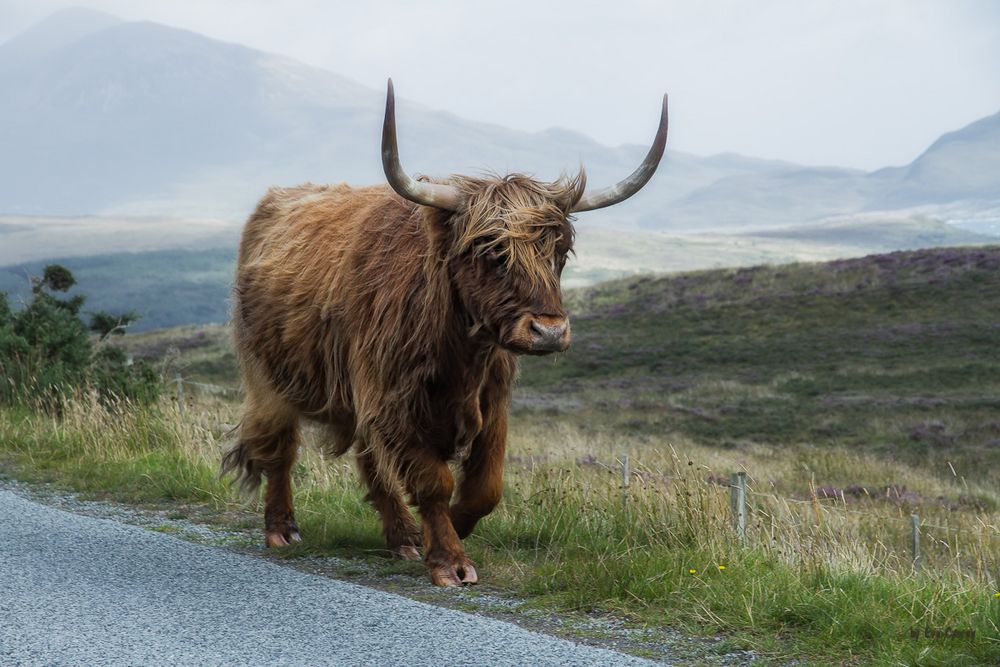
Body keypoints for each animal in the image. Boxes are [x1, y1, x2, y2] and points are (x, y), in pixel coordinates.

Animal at [223, 81, 668, 588]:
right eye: (490, 251)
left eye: (560, 252)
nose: (549, 331)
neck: (461, 355)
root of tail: (276, 199)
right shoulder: (393, 402)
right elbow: (433, 481)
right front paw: (450, 560)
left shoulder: (491, 405)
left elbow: (485, 488)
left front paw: (444, 531)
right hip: (268, 376)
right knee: (279, 448)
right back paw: (282, 528)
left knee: (370, 463)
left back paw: (402, 538)